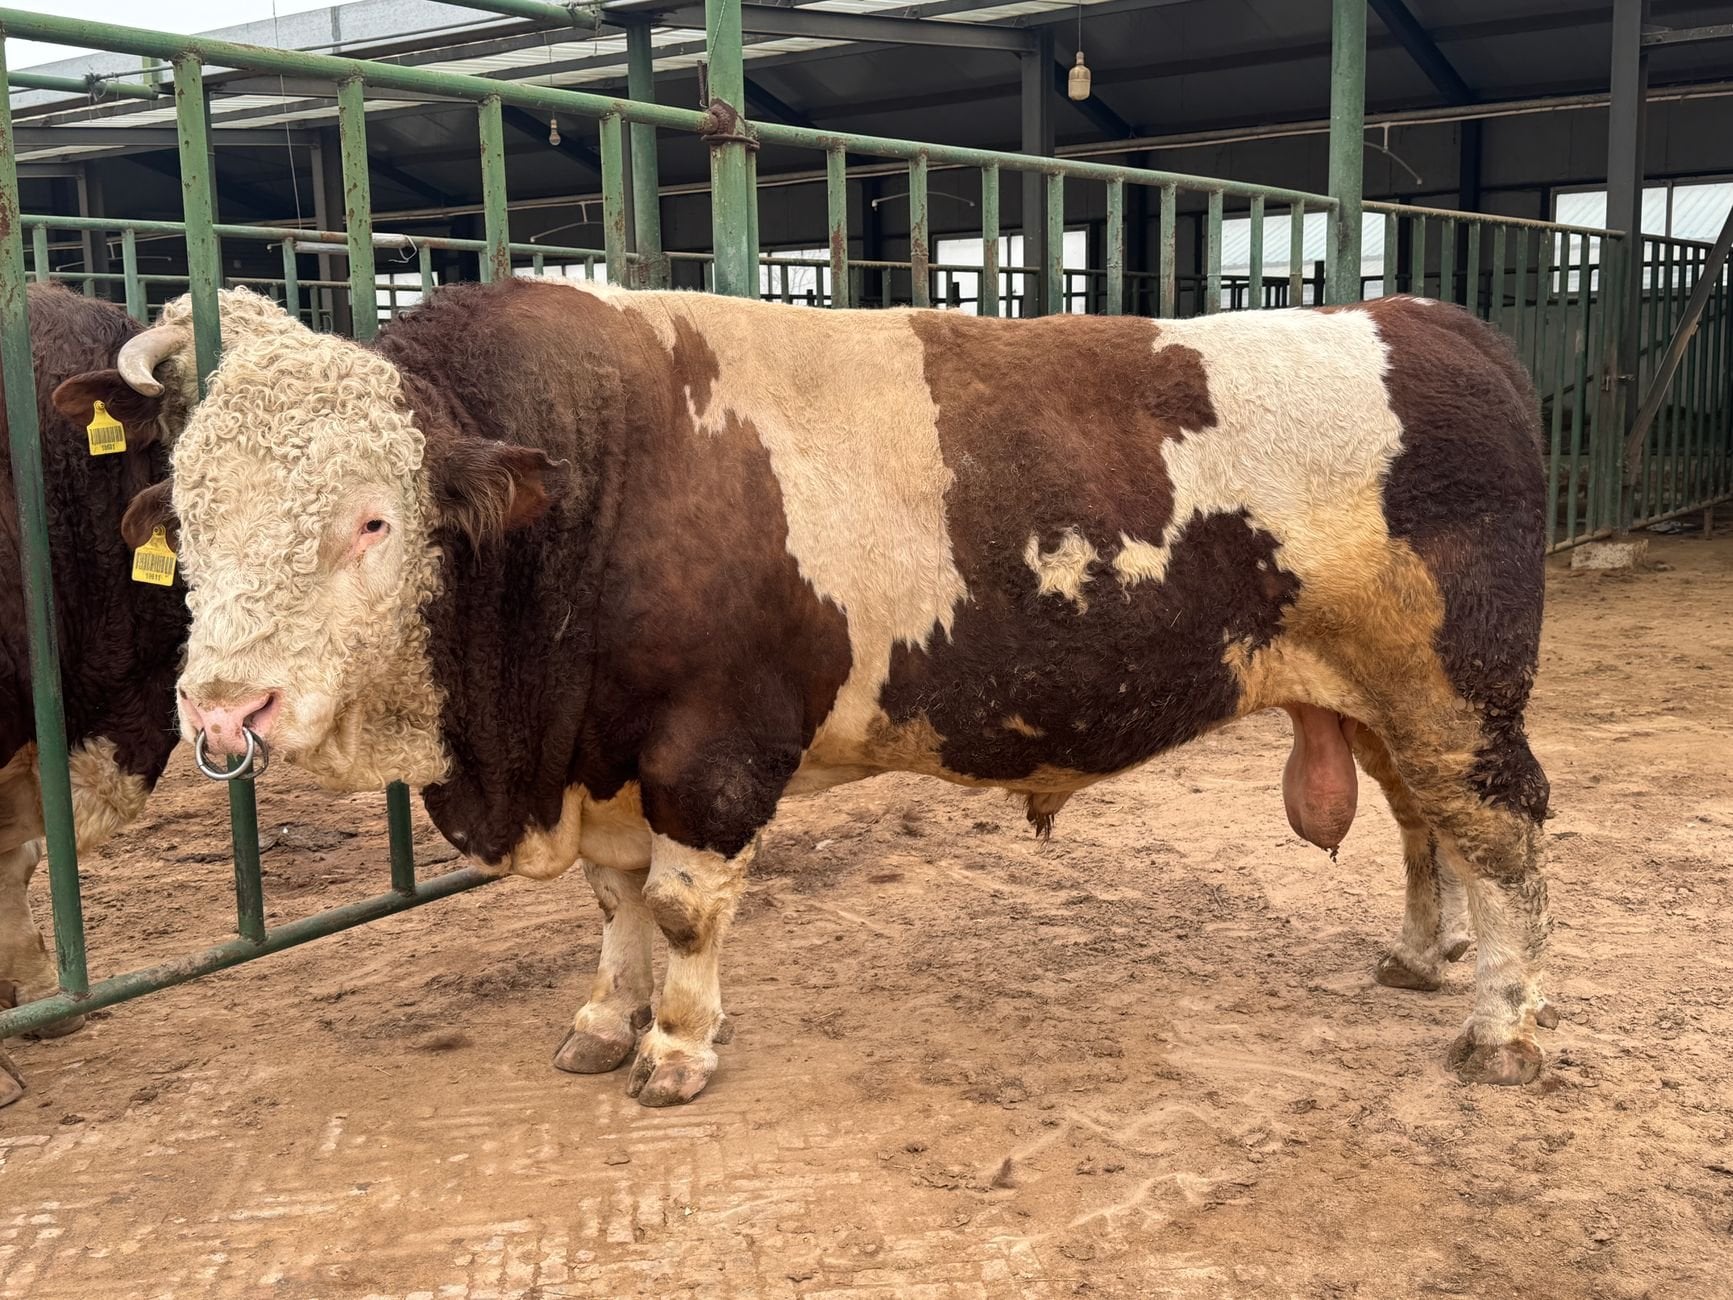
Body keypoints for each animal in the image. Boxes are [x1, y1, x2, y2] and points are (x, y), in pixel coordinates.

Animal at [114, 279, 1554, 1107]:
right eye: (185, 518)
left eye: (371, 520)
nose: (225, 711)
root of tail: (1430, 320)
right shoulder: (605, 756)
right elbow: (615, 906)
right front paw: (603, 1019)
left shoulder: (710, 749)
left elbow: (682, 908)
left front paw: (676, 1046)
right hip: (1379, 700)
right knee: (1426, 827)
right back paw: (1424, 956)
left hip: (1458, 694)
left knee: (1503, 838)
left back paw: (1509, 1029)